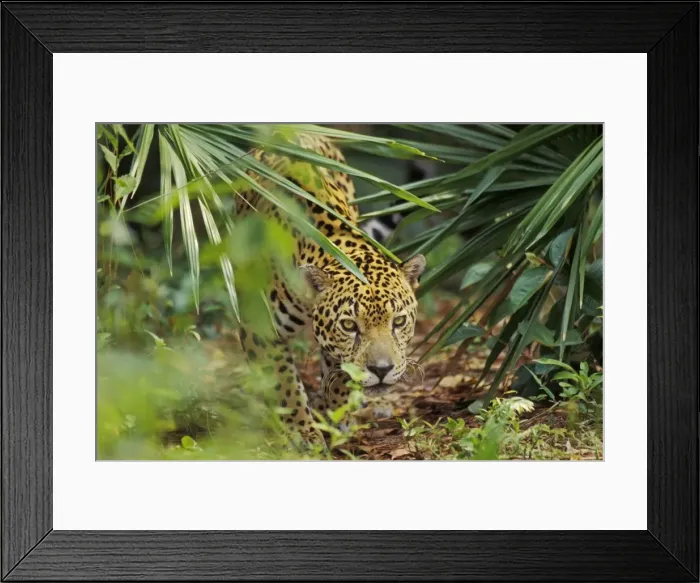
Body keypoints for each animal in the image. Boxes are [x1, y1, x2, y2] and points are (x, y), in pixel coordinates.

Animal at [235, 132, 426, 442]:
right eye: (349, 325)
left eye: (398, 322)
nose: (381, 370)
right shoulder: (259, 326)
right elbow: (284, 383)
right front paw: (302, 433)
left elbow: (340, 369)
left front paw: (338, 414)